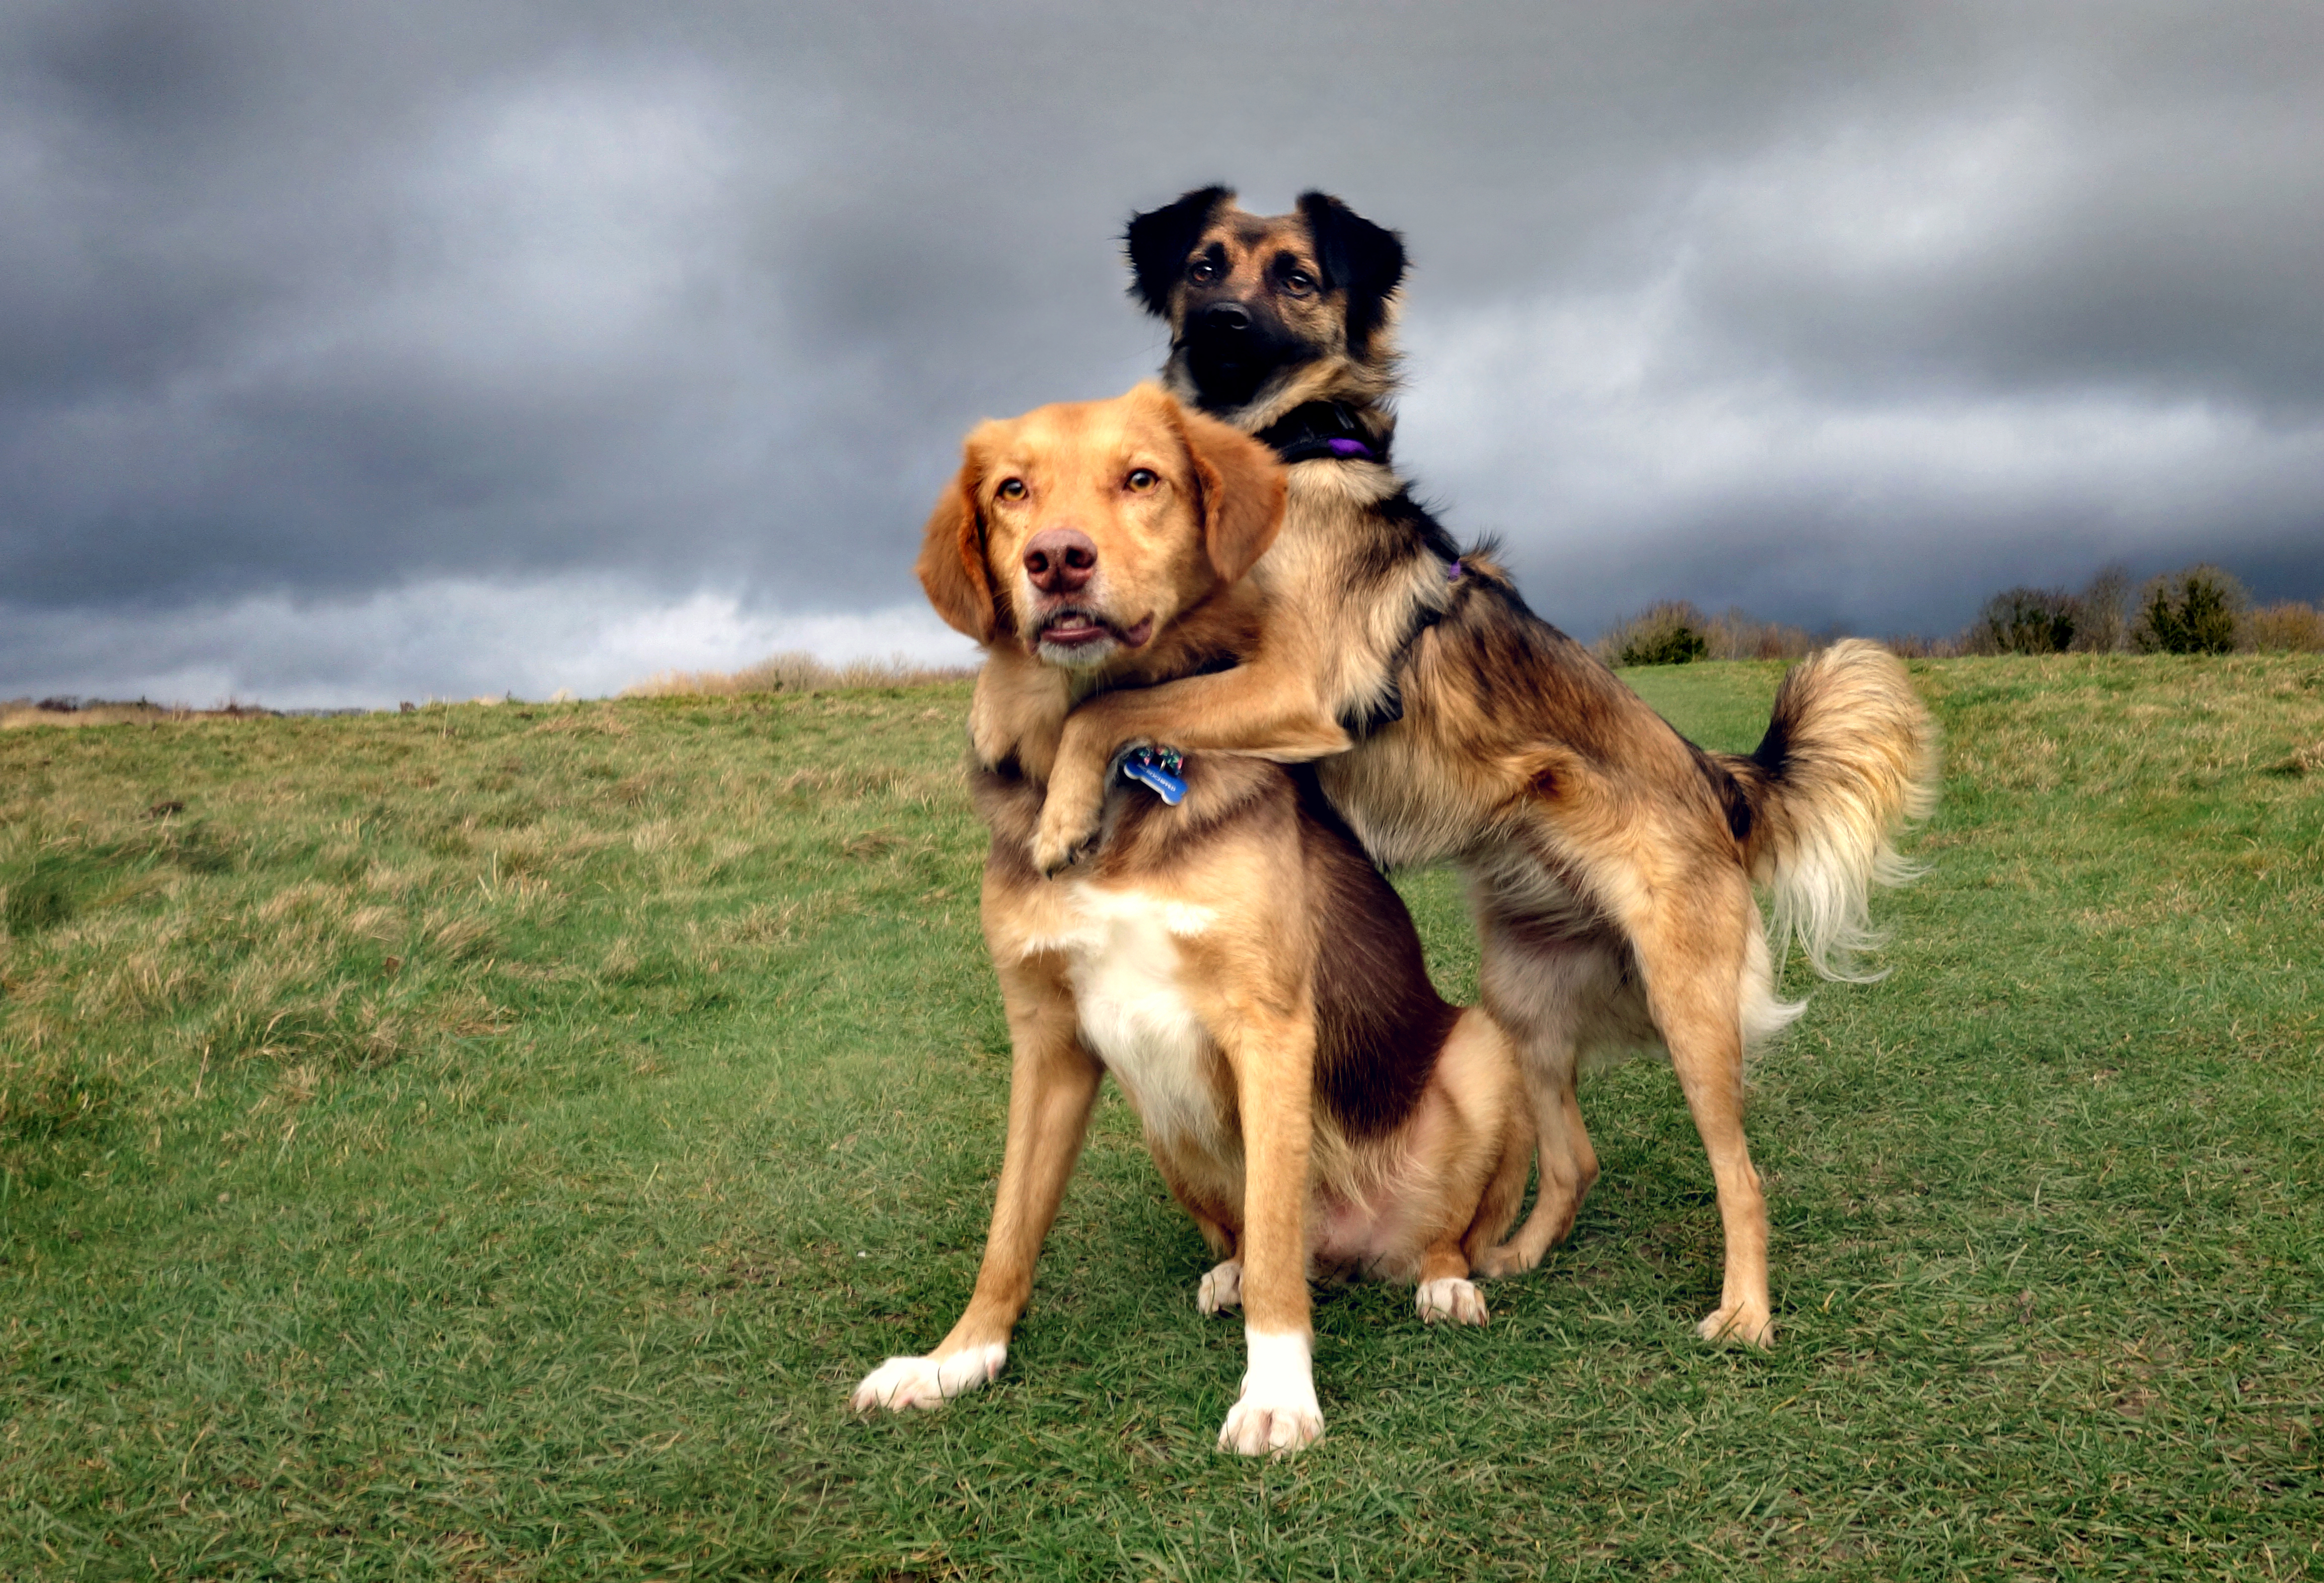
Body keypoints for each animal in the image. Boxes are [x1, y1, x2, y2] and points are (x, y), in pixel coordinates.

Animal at [846, 386, 1534, 1460]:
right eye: (1011, 491)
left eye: (1142, 478)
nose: (1056, 559)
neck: (1125, 802)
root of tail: (1358, 1243)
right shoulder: (1048, 1040)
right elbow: (1008, 1227)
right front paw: (957, 1356)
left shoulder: (1269, 1024)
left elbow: (1281, 1254)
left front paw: (1279, 1391)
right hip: (1162, 1118)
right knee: (1255, 1237)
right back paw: (1228, 1272)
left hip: (1482, 1054)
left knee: (1413, 1235)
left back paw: (1442, 1281)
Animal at [1036, 185, 1942, 1348]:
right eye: (1203, 266)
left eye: (1297, 278)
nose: (1225, 328)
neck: (1279, 453)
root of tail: (1712, 776)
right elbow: (1109, 690)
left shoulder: (1295, 685)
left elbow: (1107, 706)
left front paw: (1061, 812)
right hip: (1527, 1012)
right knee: (1574, 1156)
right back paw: (1505, 1257)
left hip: (1691, 1009)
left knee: (1739, 1175)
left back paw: (1740, 1312)